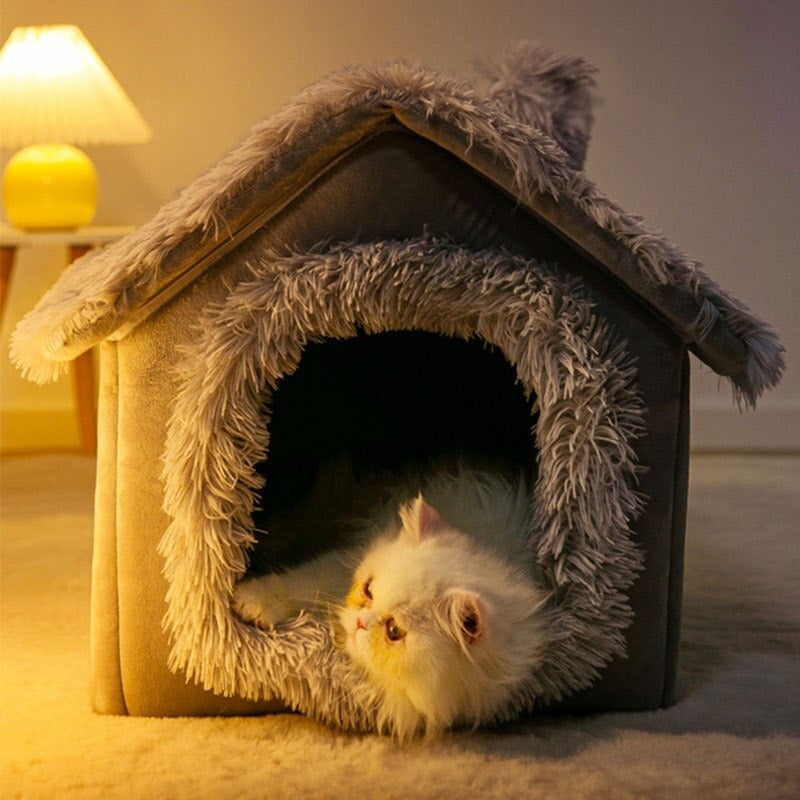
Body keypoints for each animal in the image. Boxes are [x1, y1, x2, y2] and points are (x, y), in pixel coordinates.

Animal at [233, 472, 552, 740]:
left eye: (393, 631)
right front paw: (249, 601)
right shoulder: (333, 567)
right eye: (368, 590)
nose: (360, 622)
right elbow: (300, 584)